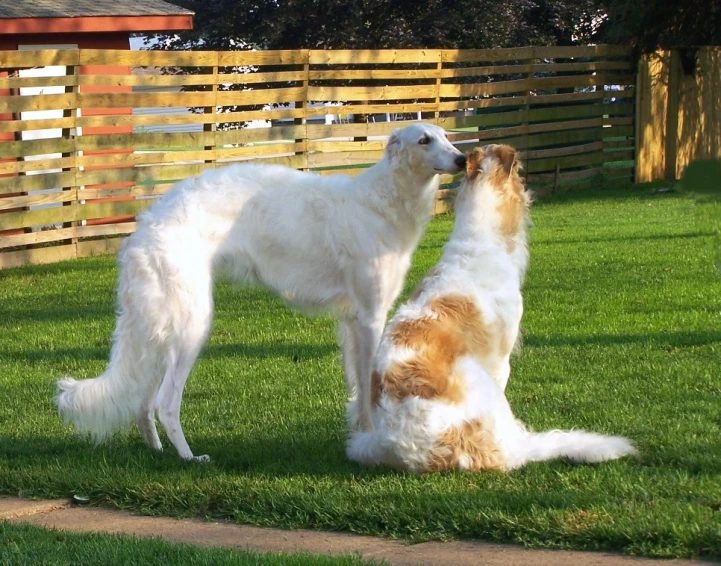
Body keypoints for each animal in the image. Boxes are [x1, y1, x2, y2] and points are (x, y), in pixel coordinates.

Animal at [54, 123, 462, 462]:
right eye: (423, 140)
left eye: (445, 135)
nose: (462, 158)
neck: (380, 201)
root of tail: (142, 232)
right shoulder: (370, 316)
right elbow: (370, 386)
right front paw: (375, 441)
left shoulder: (351, 322)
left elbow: (359, 390)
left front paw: (361, 436)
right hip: (192, 325)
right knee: (164, 403)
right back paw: (189, 458)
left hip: (160, 329)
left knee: (143, 402)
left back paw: (157, 450)